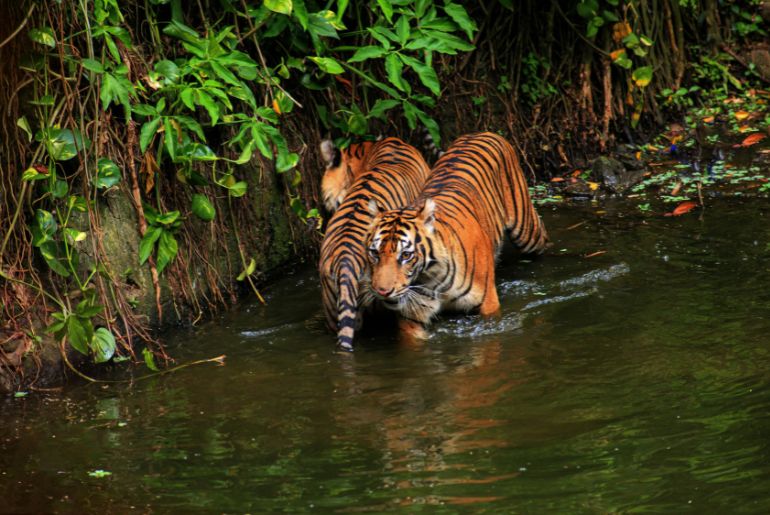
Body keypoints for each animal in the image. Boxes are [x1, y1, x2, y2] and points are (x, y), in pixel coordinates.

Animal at [364, 132, 549, 339]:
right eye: (374, 253)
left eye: (406, 255)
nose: (382, 292)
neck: (431, 278)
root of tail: (482, 132)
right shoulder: (411, 317)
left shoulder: (488, 305)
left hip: (526, 230)